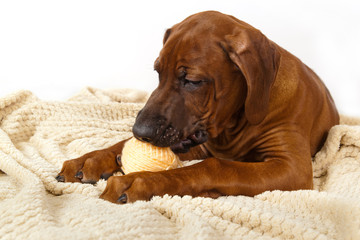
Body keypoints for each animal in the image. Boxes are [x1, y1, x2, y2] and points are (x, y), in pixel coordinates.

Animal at [54, 10, 338, 202]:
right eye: (158, 73)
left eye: (191, 81)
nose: (140, 132)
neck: (234, 125)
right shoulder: (197, 142)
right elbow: (121, 144)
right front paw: (89, 159)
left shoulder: (292, 168)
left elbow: (215, 166)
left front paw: (140, 180)